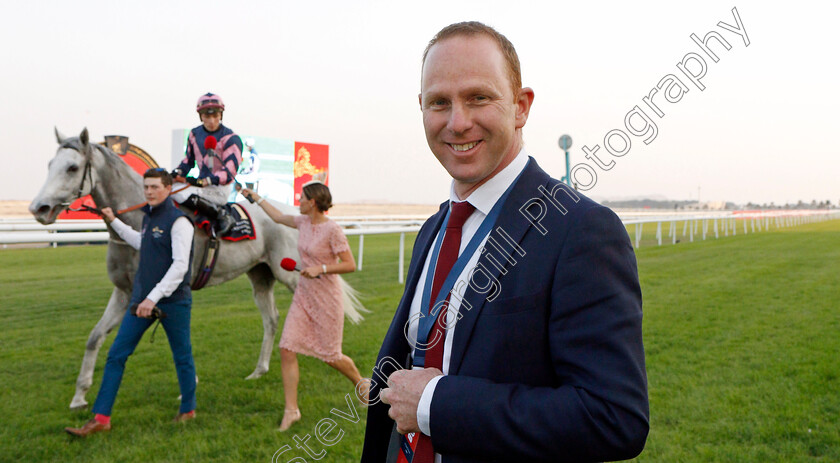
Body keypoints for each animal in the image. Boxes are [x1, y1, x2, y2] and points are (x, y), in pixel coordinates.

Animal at [28, 128, 364, 410]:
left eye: (72, 168)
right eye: (49, 164)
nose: (38, 208)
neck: (142, 219)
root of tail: (296, 212)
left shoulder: (165, 290)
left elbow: (175, 339)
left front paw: (189, 385)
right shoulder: (125, 292)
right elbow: (95, 337)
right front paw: (79, 396)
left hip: (292, 273)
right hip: (261, 275)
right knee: (271, 319)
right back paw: (259, 370)